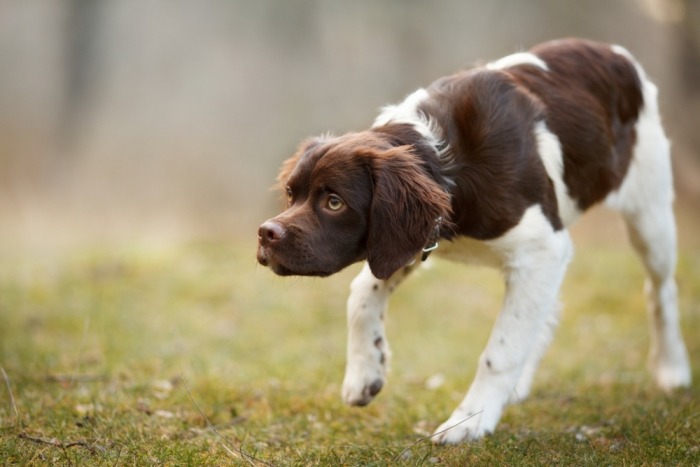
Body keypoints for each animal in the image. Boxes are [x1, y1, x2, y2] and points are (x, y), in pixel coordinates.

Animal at [254, 39, 692, 442]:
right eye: (291, 194)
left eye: (334, 202)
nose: (265, 234)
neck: (447, 161)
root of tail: (615, 52)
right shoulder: (409, 239)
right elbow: (362, 293)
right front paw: (365, 373)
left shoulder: (541, 249)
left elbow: (501, 349)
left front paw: (470, 420)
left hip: (649, 213)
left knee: (660, 290)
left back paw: (672, 369)